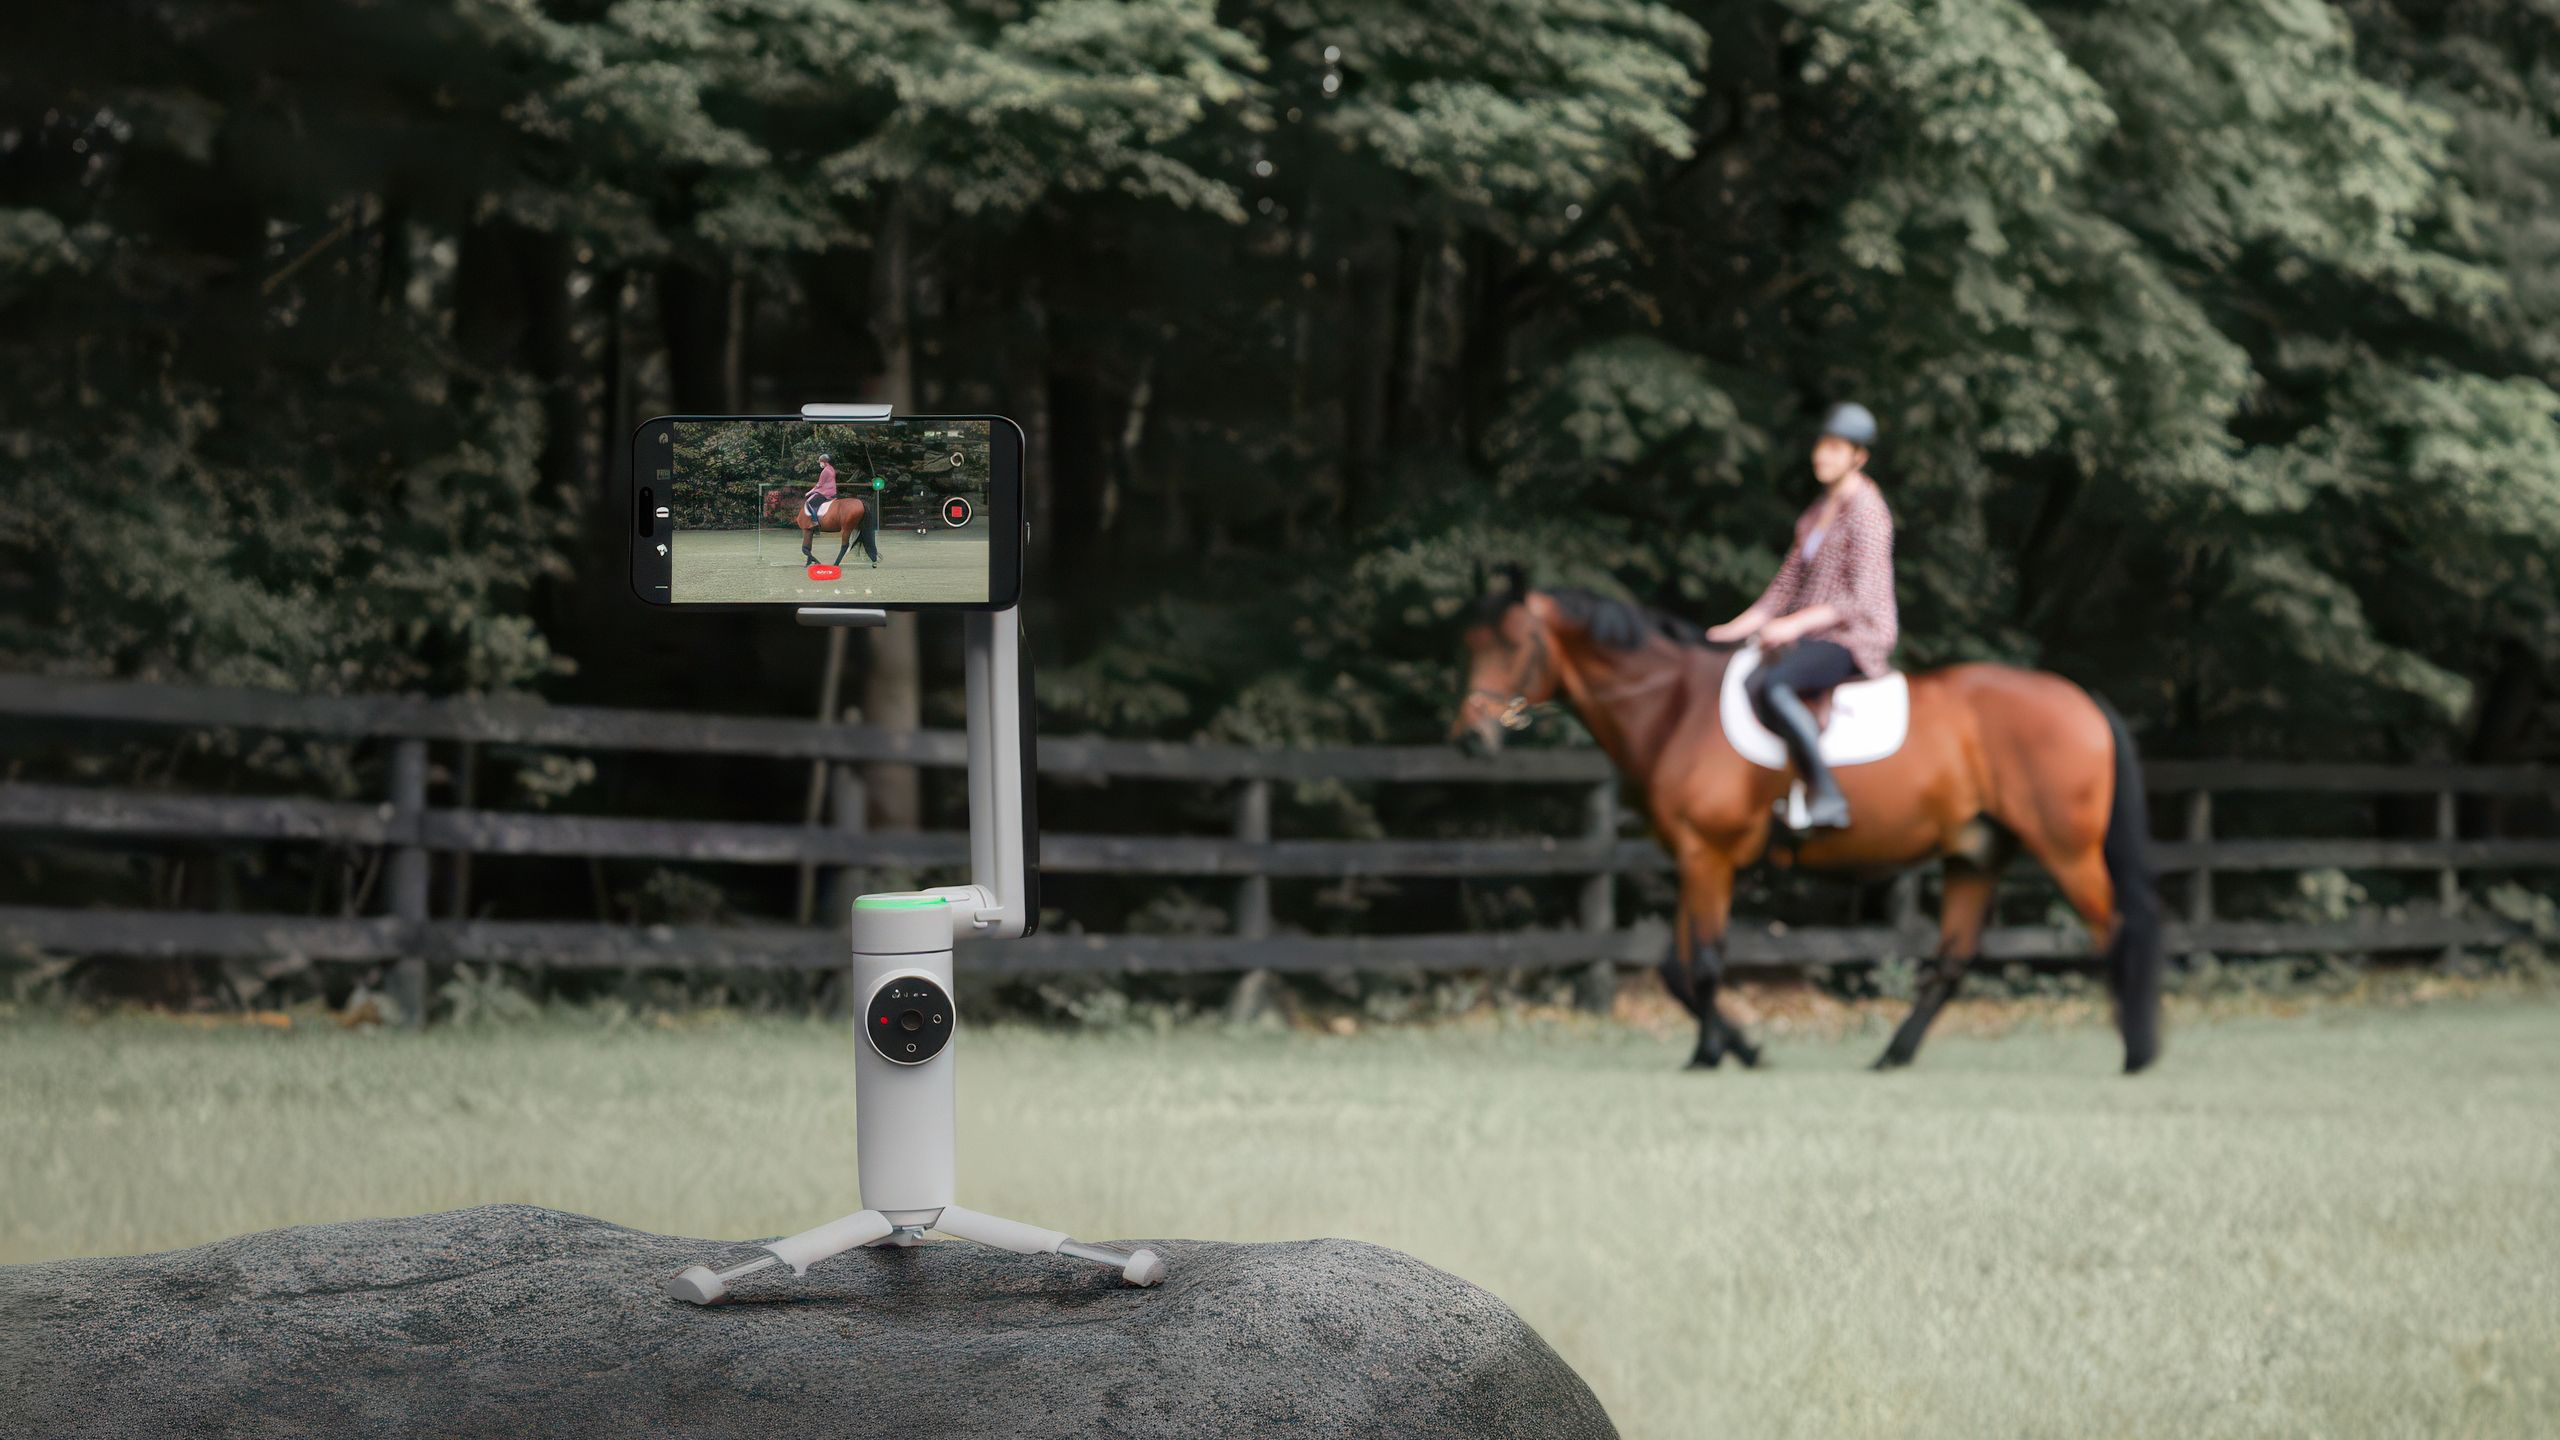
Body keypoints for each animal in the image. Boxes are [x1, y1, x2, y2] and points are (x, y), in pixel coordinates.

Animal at [1454, 576, 2150, 1071]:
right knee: (1953, 960)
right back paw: (1893, 1056)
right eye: (1472, 645)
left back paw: (2139, 1052)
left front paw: (1710, 1055)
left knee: (2117, 929)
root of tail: (2081, 700)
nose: (1468, 738)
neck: (1676, 708)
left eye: (1512, 645)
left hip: (2067, 849)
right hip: (1975, 856)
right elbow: (1677, 968)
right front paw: (1742, 1049)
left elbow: (1706, 961)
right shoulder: (1692, 857)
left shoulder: (1710, 856)